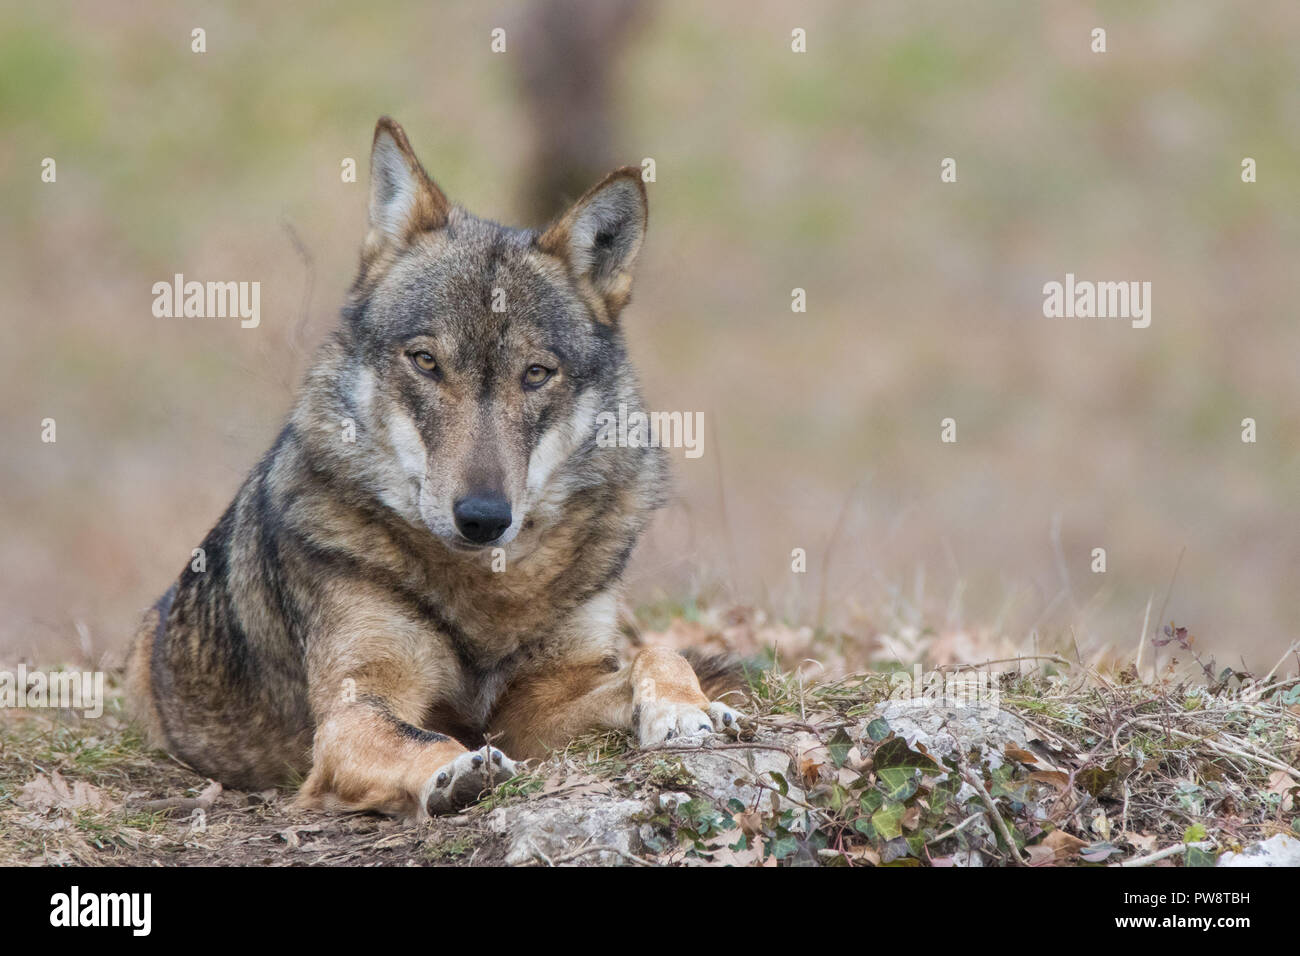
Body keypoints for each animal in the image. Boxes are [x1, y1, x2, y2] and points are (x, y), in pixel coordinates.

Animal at [130, 119, 748, 816]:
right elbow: (418, 736)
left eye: (536, 374)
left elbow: (657, 654)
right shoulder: (354, 710)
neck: (488, 590)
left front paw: (689, 708)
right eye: (426, 361)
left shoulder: (538, 703)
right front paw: (458, 773)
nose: (482, 517)